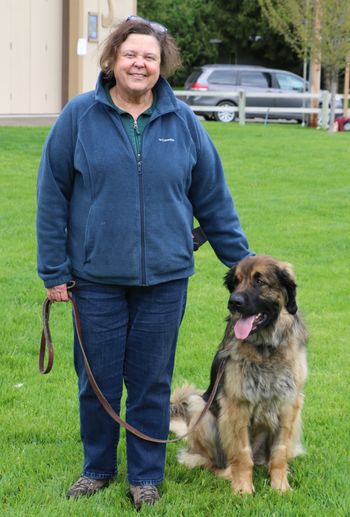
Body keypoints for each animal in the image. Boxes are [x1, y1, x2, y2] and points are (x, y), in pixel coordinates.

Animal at [171, 256, 308, 494]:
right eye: (235, 282)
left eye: (259, 281)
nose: (233, 302)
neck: (265, 349)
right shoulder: (237, 406)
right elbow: (242, 454)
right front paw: (243, 489)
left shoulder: (289, 405)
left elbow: (280, 452)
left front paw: (280, 486)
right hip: (200, 408)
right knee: (209, 461)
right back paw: (225, 472)